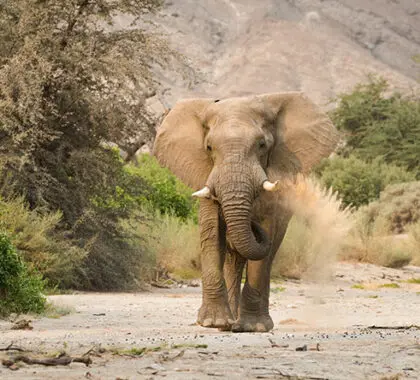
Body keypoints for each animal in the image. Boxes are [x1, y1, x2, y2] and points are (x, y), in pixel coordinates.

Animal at [153, 93, 340, 332]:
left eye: (262, 145)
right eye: (209, 147)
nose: (253, 224)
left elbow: (265, 240)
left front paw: (252, 326)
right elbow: (212, 233)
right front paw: (213, 323)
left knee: (267, 256)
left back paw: (253, 324)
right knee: (232, 261)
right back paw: (229, 324)